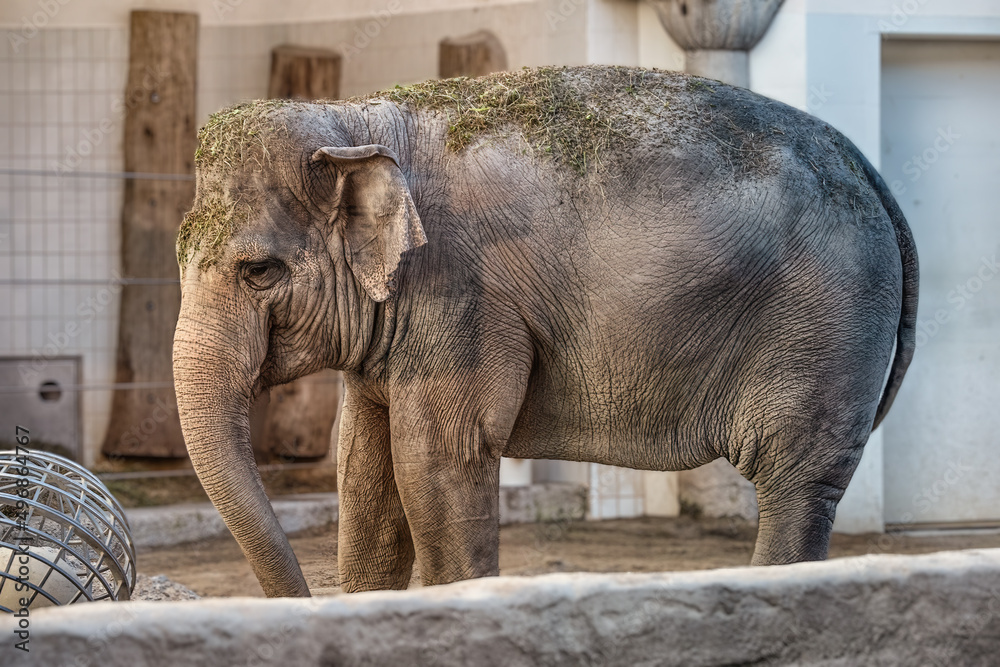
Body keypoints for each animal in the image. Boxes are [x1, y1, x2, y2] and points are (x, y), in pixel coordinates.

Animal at [172, 66, 917, 597]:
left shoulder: (460, 295)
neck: (358, 118)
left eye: (259, 271)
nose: (303, 597)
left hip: (827, 323)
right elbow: (364, 465)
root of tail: (868, 170)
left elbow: (437, 460)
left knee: (797, 479)